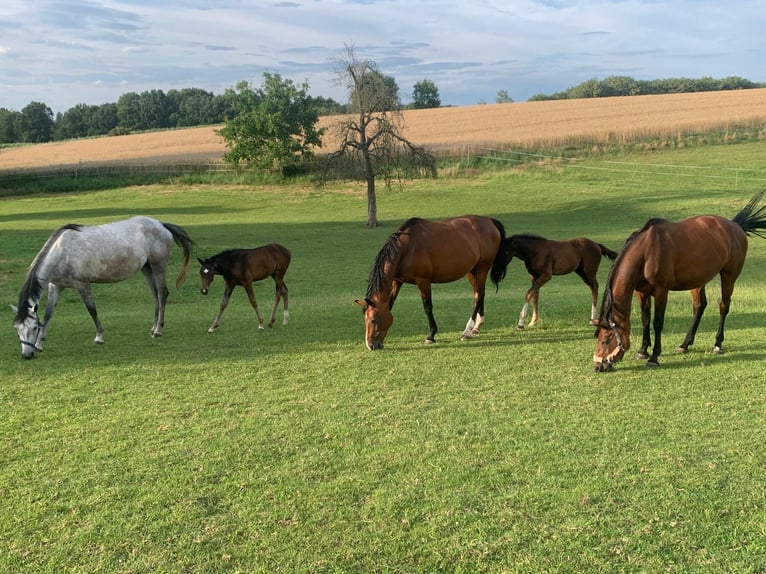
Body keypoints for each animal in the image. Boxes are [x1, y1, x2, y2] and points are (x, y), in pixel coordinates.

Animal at [11, 217, 195, 360]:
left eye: (33, 328)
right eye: (17, 329)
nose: (27, 355)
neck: (62, 251)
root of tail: (161, 224)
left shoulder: (82, 285)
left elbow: (92, 310)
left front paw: (99, 337)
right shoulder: (56, 286)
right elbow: (48, 314)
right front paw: (39, 344)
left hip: (158, 266)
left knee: (162, 294)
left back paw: (158, 330)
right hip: (147, 268)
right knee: (155, 295)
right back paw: (153, 327)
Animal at [356, 216, 512, 352]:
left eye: (373, 320)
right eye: (365, 320)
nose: (371, 345)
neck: (407, 248)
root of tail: (490, 221)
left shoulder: (423, 281)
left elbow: (428, 307)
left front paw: (431, 336)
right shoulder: (397, 281)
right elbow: (390, 305)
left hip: (482, 269)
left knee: (478, 297)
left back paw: (467, 331)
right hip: (472, 272)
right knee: (480, 294)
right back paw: (476, 327)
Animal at [592, 192, 766, 374]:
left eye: (606, 339)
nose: (597, 366)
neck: (647, 252)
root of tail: (735, 225)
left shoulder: (661, 291)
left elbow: (657, 323)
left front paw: (654, 357)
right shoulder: (641, 292)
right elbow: (645, 320)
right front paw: (642, 351)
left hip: (729, 276)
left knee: (723, 306)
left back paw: (717, 344)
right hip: (698, 280)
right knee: (699, 306)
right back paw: (685, 344)